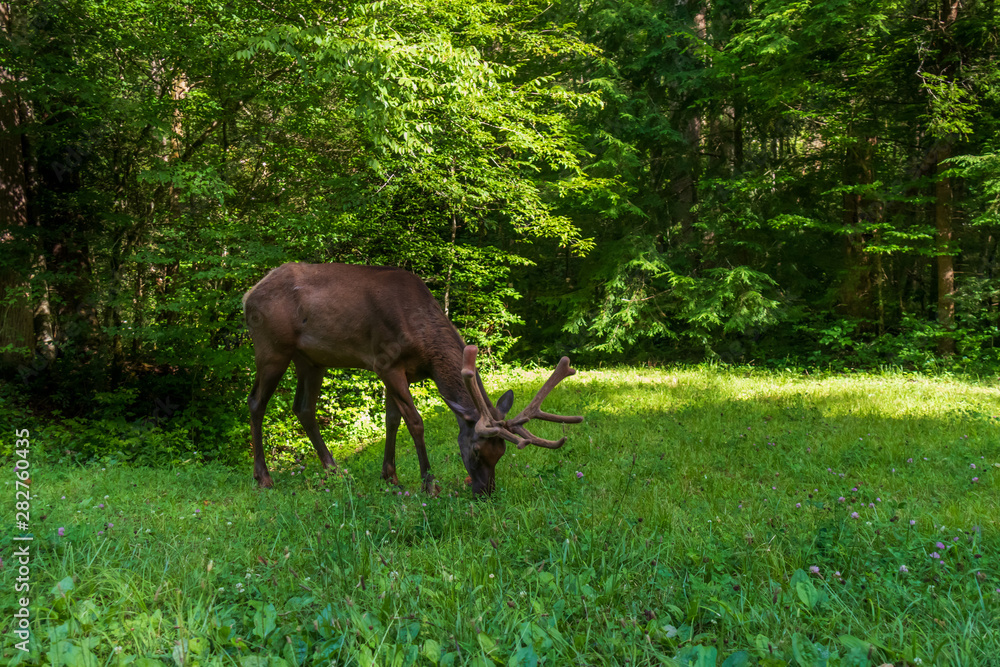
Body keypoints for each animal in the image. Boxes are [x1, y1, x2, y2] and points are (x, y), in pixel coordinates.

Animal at [242, 262, 583, 495]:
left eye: (501, 453)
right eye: (475, 451)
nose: (485, 492)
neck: (424, 347)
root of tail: (247, 296)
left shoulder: (398, 370)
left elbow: (392, 420)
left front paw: (390, 476)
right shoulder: (385, 361)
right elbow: (415, 421)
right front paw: (428, 483)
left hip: (312, 360)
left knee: (303, 408)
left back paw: (335, 470)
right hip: (272, 347)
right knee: (256, 401)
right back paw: (263, 477)